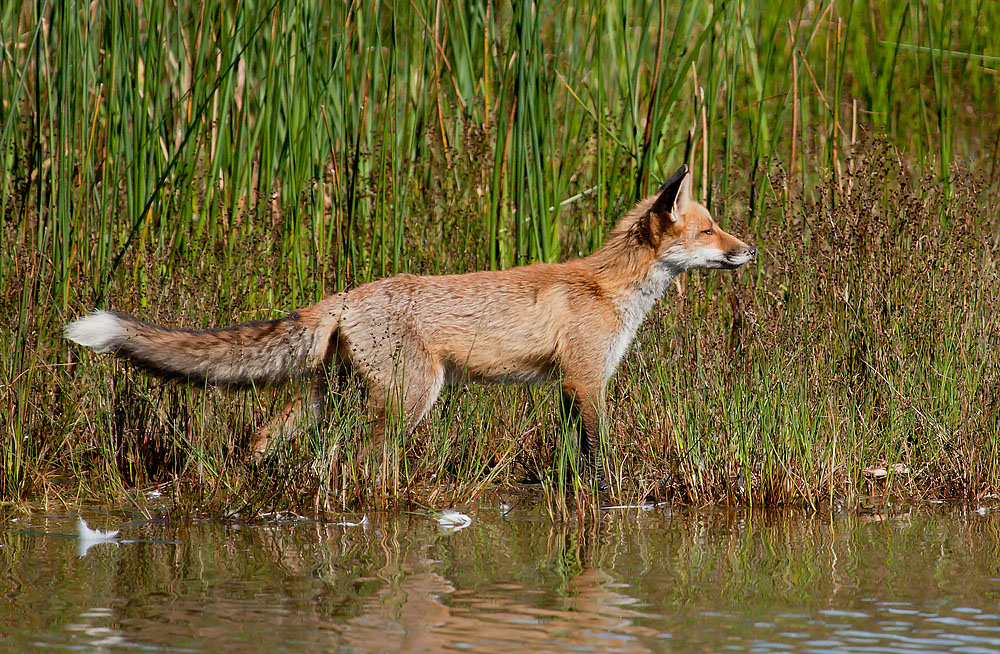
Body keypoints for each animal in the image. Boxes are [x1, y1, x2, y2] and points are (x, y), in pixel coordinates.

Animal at [66, 164, 752, 482]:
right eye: (709, 231)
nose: (749, 250)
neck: (608, 288)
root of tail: (345, 295)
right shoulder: (586, 380)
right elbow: (603, 455)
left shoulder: (567, 385)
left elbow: (572, 460)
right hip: (411, 399)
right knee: (362, 462)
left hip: (325, 398)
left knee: (264, 438)